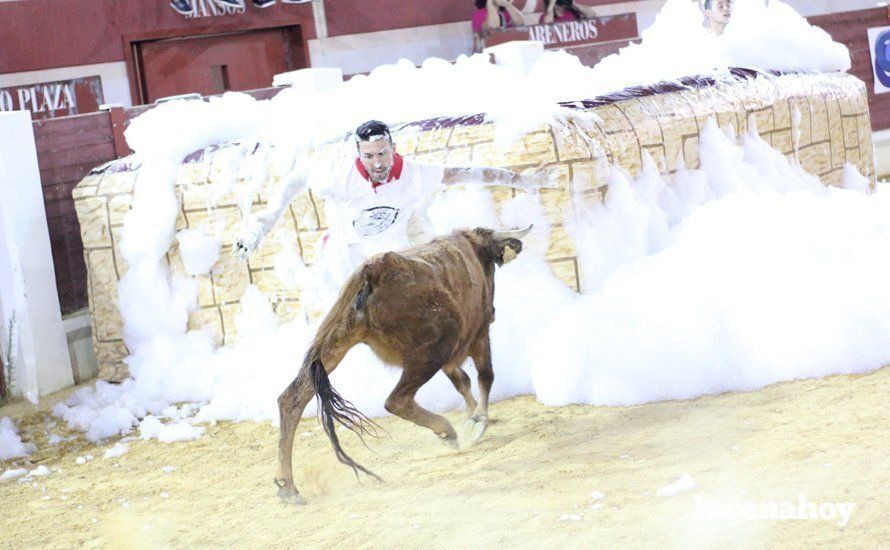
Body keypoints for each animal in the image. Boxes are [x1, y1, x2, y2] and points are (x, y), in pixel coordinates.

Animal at [274, 224, 532, 504]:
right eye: (491, 266)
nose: (493, 310)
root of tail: (374, 269)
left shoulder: (454, 354)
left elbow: (461, 381)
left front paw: (473, 416)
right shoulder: (479, 333)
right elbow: (485, 376)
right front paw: (477, 422)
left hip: (335, 343)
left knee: (292, 398)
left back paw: (288, 486)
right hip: (434, 348)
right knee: (397, 400)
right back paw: (446, 430)